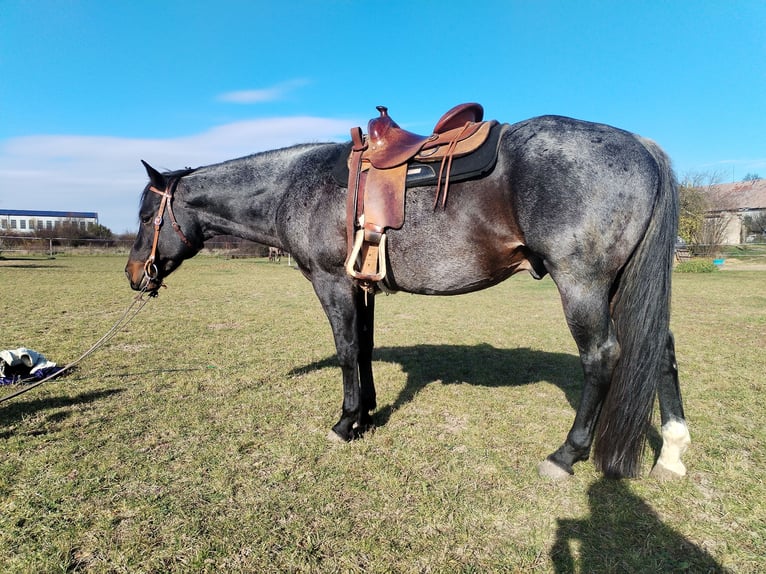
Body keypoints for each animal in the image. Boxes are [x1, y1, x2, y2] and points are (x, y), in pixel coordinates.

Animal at [125, 113, 690, 480]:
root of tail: (641, 145)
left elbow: (347, 351)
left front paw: (346, 422)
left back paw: (566, 455)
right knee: (660, 349)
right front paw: (368, 412)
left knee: (602, 357)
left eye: (147, 216)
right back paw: (672, 452)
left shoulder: (331, 281)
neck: (295, 186)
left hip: (582, 283)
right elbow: (365, 348)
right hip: (617, 285)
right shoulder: (361, 286)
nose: (134, 275)